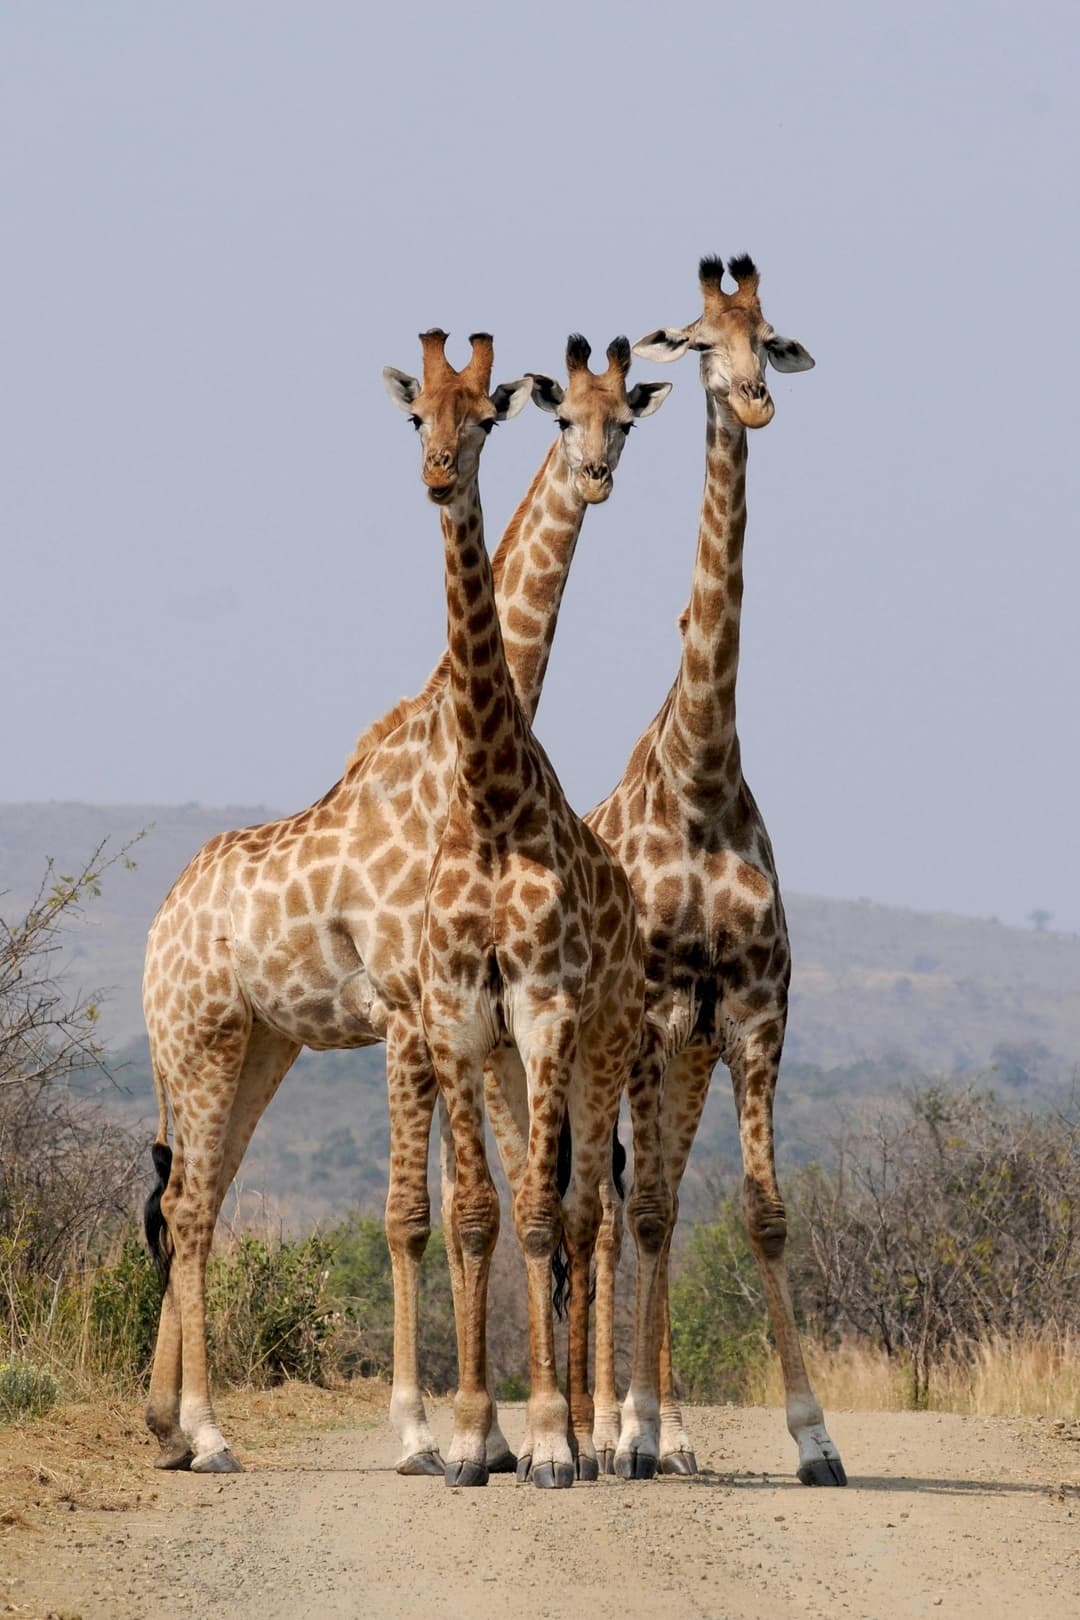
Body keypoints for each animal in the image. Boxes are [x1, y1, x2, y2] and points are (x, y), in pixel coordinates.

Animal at [139, 325, 670, 1470]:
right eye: (418, 415)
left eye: (625, 420)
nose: (595, 476)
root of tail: (157, 927)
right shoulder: (406, 1009)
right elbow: (411, 1215)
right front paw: (428, 1433)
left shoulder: (463, 1015)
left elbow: (484, 1200)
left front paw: (499, 1436)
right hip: (198, 1038)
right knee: (191, 1207)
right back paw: (206, 1431)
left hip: (259, 1044)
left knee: (197, 1193)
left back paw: (165, 1421)